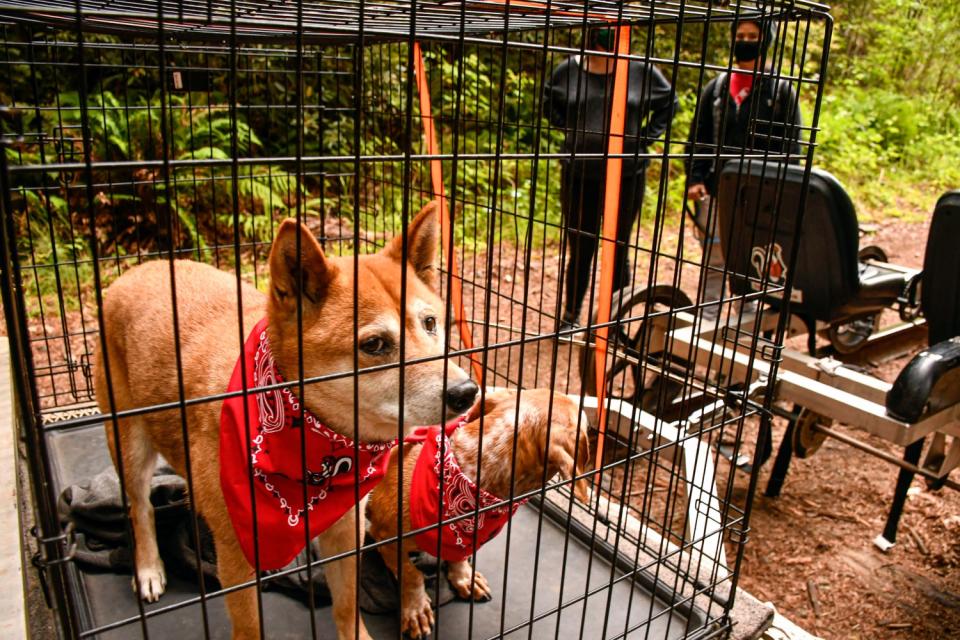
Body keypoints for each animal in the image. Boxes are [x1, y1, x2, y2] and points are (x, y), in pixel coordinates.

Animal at [94, 201, 476, 640]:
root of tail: (139, 269)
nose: (467, 391)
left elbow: (347, 607)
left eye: (430, 323)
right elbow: (249, 628)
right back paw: (148, 568)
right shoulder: (236, 557)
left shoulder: (346, 528)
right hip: (129, 447)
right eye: (375, 345)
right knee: (140, 509)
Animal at [370, 388, 588, 636]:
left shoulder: (461, 541)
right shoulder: (386, 539)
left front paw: (465, 578)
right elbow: (411, 575)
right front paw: (416, 609)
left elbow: (458, 557)